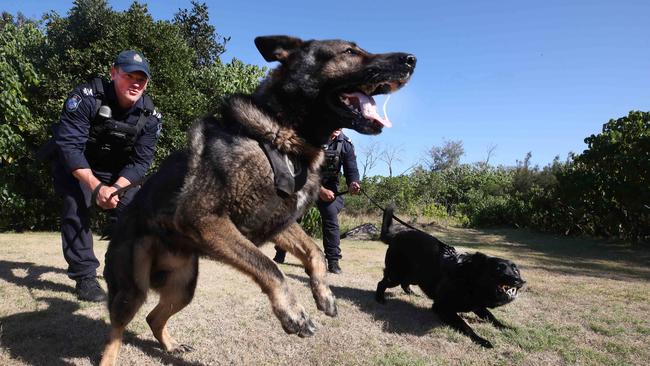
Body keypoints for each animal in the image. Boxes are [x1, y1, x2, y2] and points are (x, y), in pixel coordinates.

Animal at [101, 35, 416, 364]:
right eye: (350, 51)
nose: (411, 60)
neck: (282, 138)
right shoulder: (204, 217)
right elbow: (269, 266)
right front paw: (293, 313)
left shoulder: (277, 220)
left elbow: (314, 251)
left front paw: (325, 294)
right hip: (131, 290)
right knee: (116, 331)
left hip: (183, 286)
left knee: (153, 317)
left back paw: (171, 346)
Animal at [374, 204, 520, 348]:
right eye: (498, 269)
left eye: (516, 270)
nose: (518, 280)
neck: (469, 280)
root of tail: (395, 236)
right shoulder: (442, 307)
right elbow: (465, 325)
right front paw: (481, 340)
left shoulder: (477, 306)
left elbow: (492, 317)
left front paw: (506, 327)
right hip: (396, 275)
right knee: (382, 283)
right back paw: (380, 299)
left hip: (414, 275)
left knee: (404, 283)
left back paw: (411, 293)